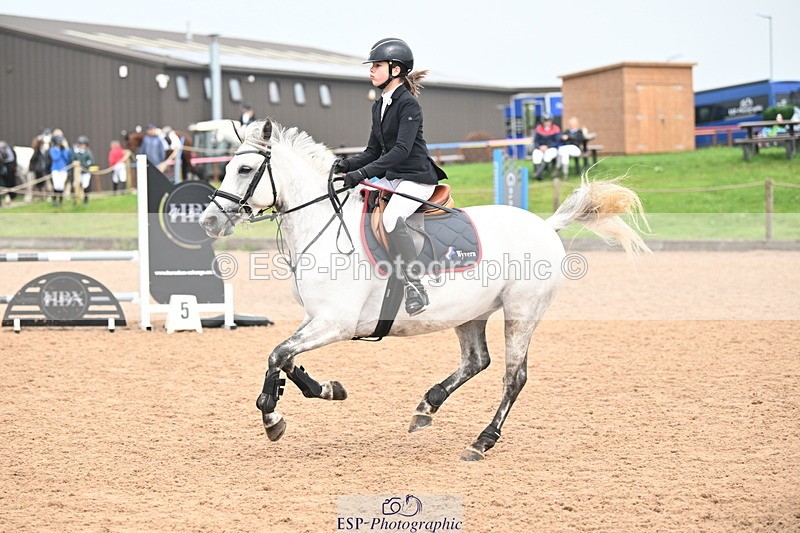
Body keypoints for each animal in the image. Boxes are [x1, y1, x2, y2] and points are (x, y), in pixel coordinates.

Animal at [199, 119, 650, 461]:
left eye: (244, 170)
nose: (209, 221)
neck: (323, 228)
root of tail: (544, 225)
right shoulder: (316, 319)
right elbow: (286, 357)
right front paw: (327, 390)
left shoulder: (336, 323)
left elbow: (278, 354)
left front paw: (272, 418)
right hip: (471, 313)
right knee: (476, 361)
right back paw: (426, 407)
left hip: (521, 313)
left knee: (513, 376)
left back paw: (482, 441)